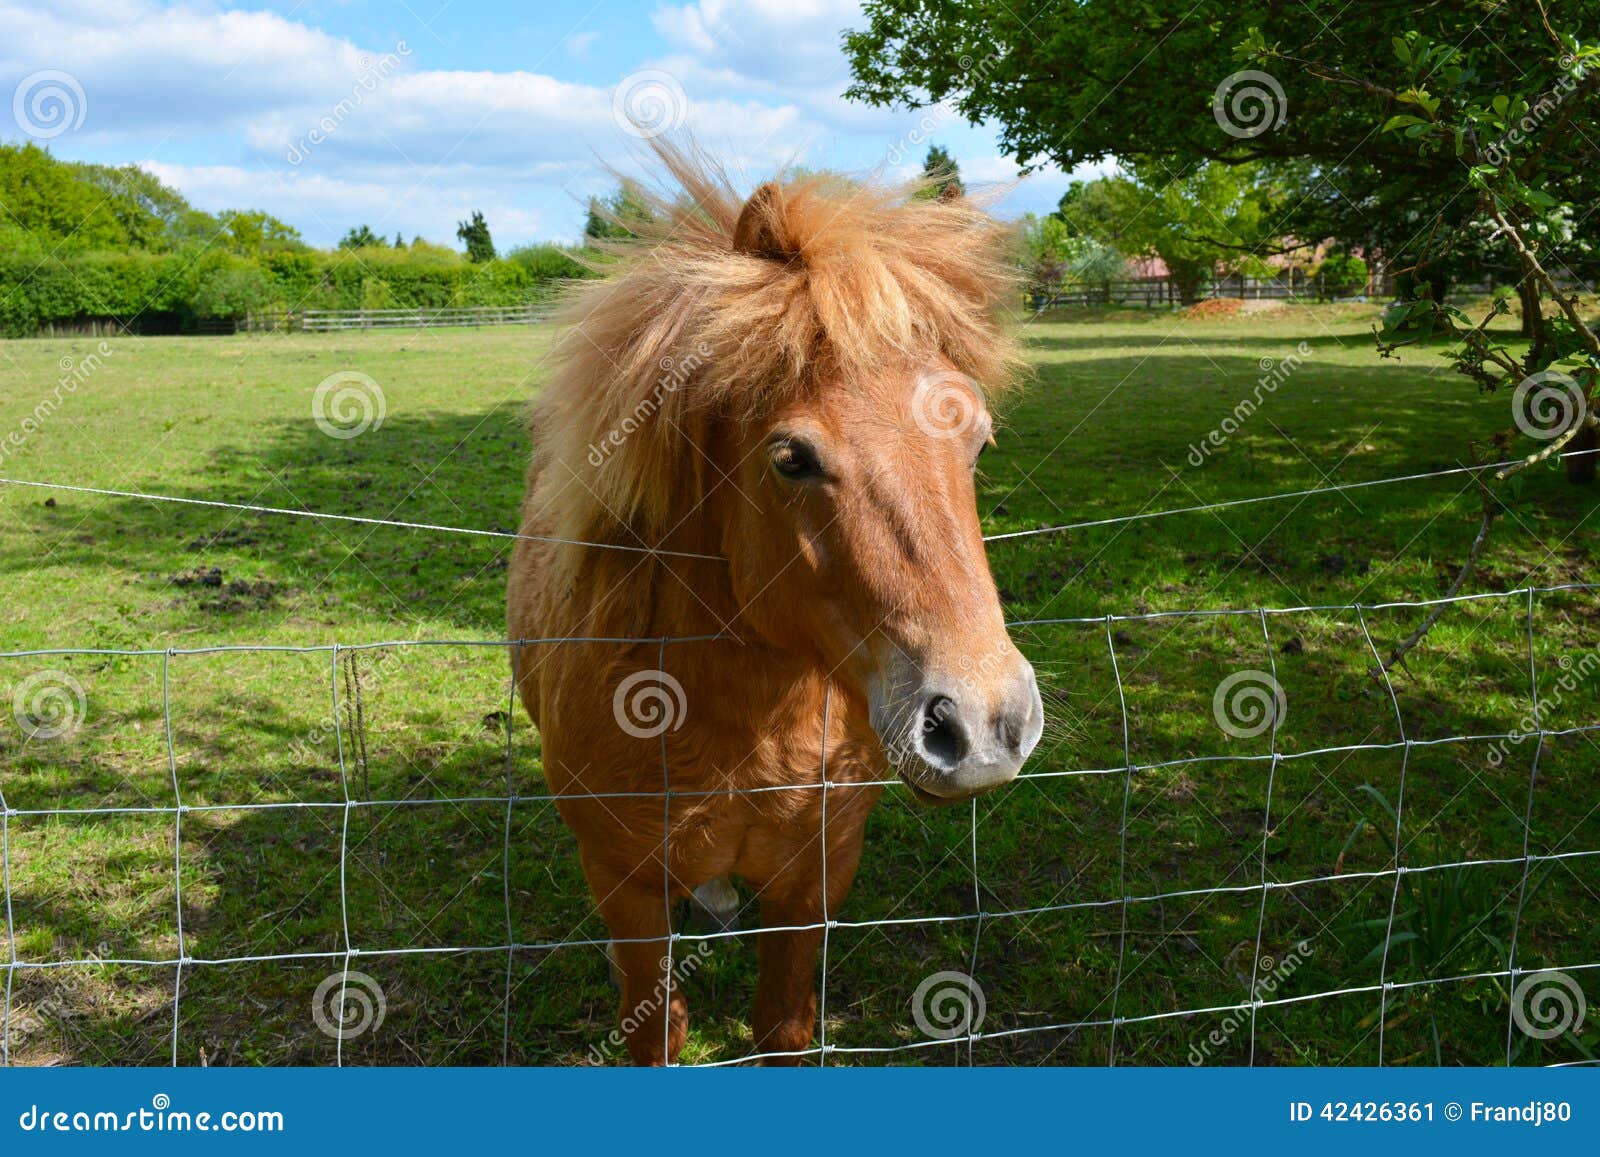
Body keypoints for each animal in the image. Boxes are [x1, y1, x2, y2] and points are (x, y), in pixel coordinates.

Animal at [507, 143, 1043, 1065]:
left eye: (978, 440)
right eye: (792, 457)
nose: (981, 726)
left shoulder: (816, 876)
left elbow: (783, 1024)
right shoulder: (628, 887)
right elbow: (656, 1027)